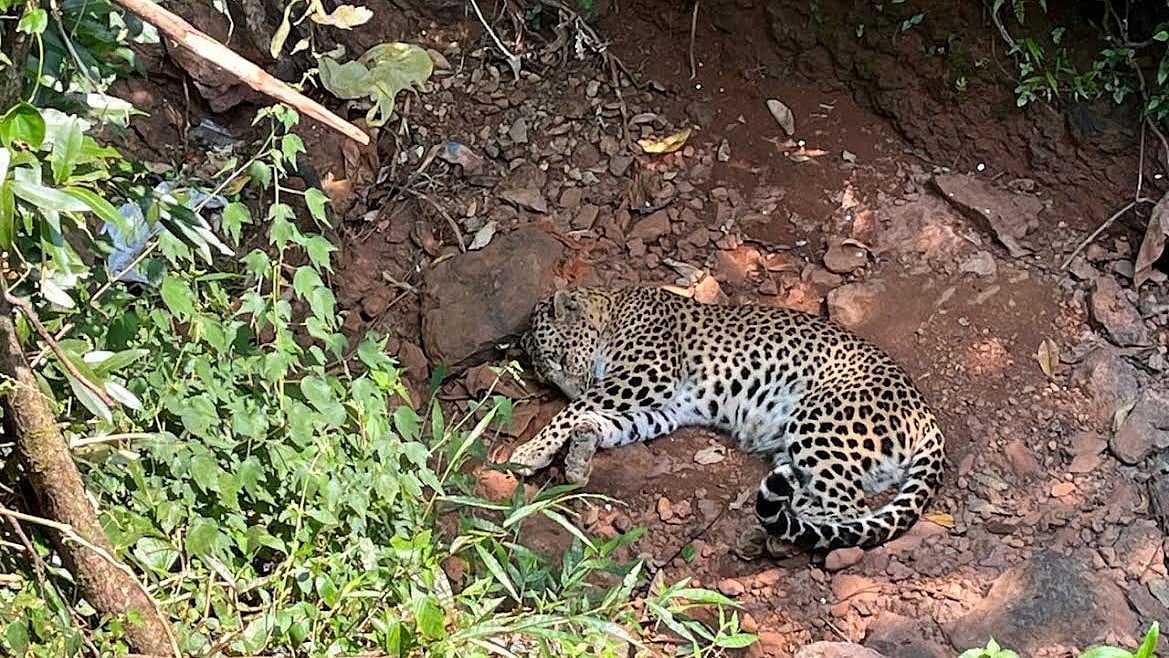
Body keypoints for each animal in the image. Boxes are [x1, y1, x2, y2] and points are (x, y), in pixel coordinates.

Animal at [505, 285, 946, 554]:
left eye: (560, 358)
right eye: (544, 373)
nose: (565, 387)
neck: (615, 308)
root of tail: (926, 414)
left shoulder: (648, 373)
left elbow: (576, 409)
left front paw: (531, 451)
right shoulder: (666, 409)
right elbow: (611, 421)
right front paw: (581, 451)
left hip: (819, 422)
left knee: (847, 509)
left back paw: (774, 536)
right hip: (803, 454)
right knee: (821, 498)